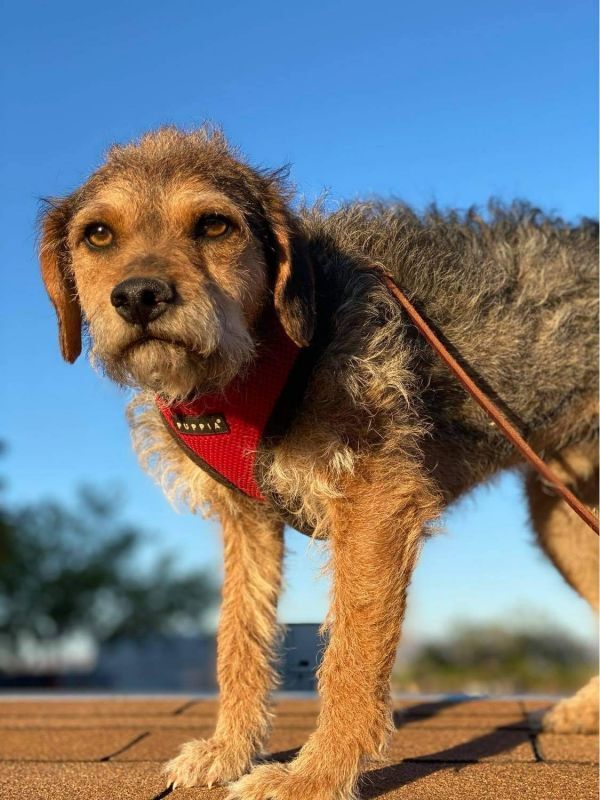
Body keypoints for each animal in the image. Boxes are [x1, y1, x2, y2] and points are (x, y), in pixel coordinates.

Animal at [39, 128, 596, 796]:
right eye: (98, 234)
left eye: (214, 226)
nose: (140, 296)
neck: (258, 357)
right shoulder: (248, 520)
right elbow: (238, 638)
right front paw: (229, 752)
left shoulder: (377, 501)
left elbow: (350, 654)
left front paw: (316, 774)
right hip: (564, 519)